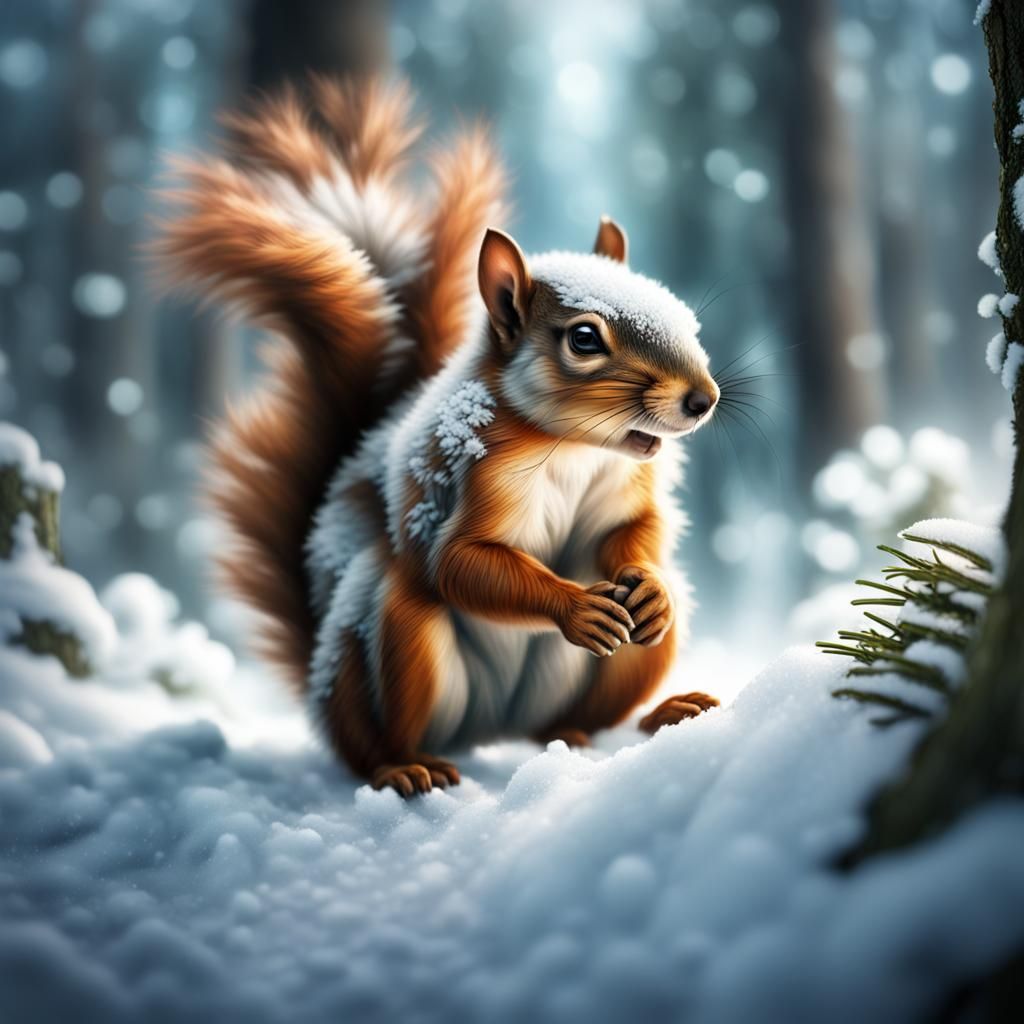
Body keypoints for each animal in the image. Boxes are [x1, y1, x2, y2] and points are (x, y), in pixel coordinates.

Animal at [155, 77, 721, 796]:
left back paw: (659, 712)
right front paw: (574, 607)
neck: (573, 449)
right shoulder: (470, 481)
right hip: (393, 644)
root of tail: (491, 733)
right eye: (584, 339)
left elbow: (635, 532)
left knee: (578, 725)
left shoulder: (628, 487)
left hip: (611, 676)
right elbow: (460, 562)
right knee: (371, 733)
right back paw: (403, 765)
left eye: (684, 317)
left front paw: (648, 585)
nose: (704, 400)